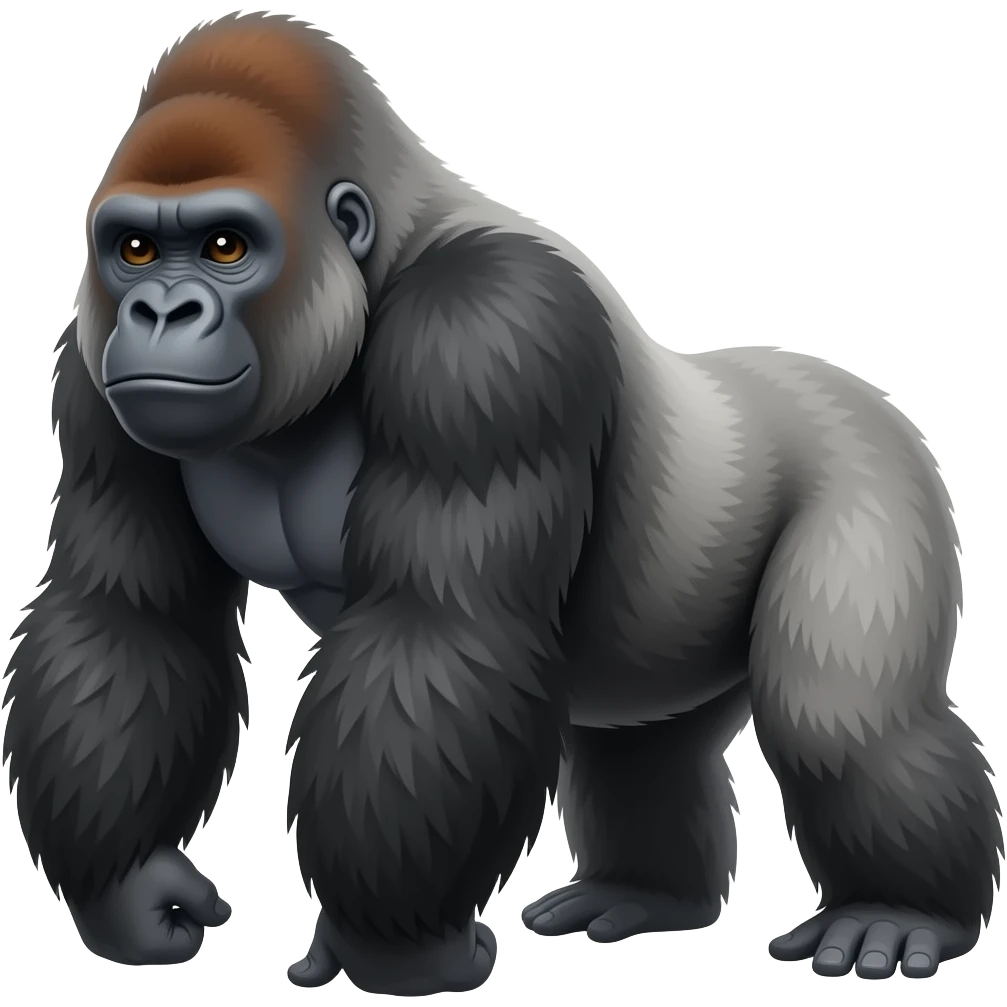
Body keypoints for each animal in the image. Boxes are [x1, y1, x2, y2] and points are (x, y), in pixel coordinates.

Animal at [2, 9, 1000, 995]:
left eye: (225, 246)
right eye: (134, 249)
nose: (161, 313)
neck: (378, 255)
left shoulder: (487, 332)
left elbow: (436, 630)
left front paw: (390, 949)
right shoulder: (90, 374)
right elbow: (129, 616)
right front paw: (131, 886)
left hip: (874, 463)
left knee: (842, 720)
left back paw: (900, 908)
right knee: (650, 746)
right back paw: (646, 892)